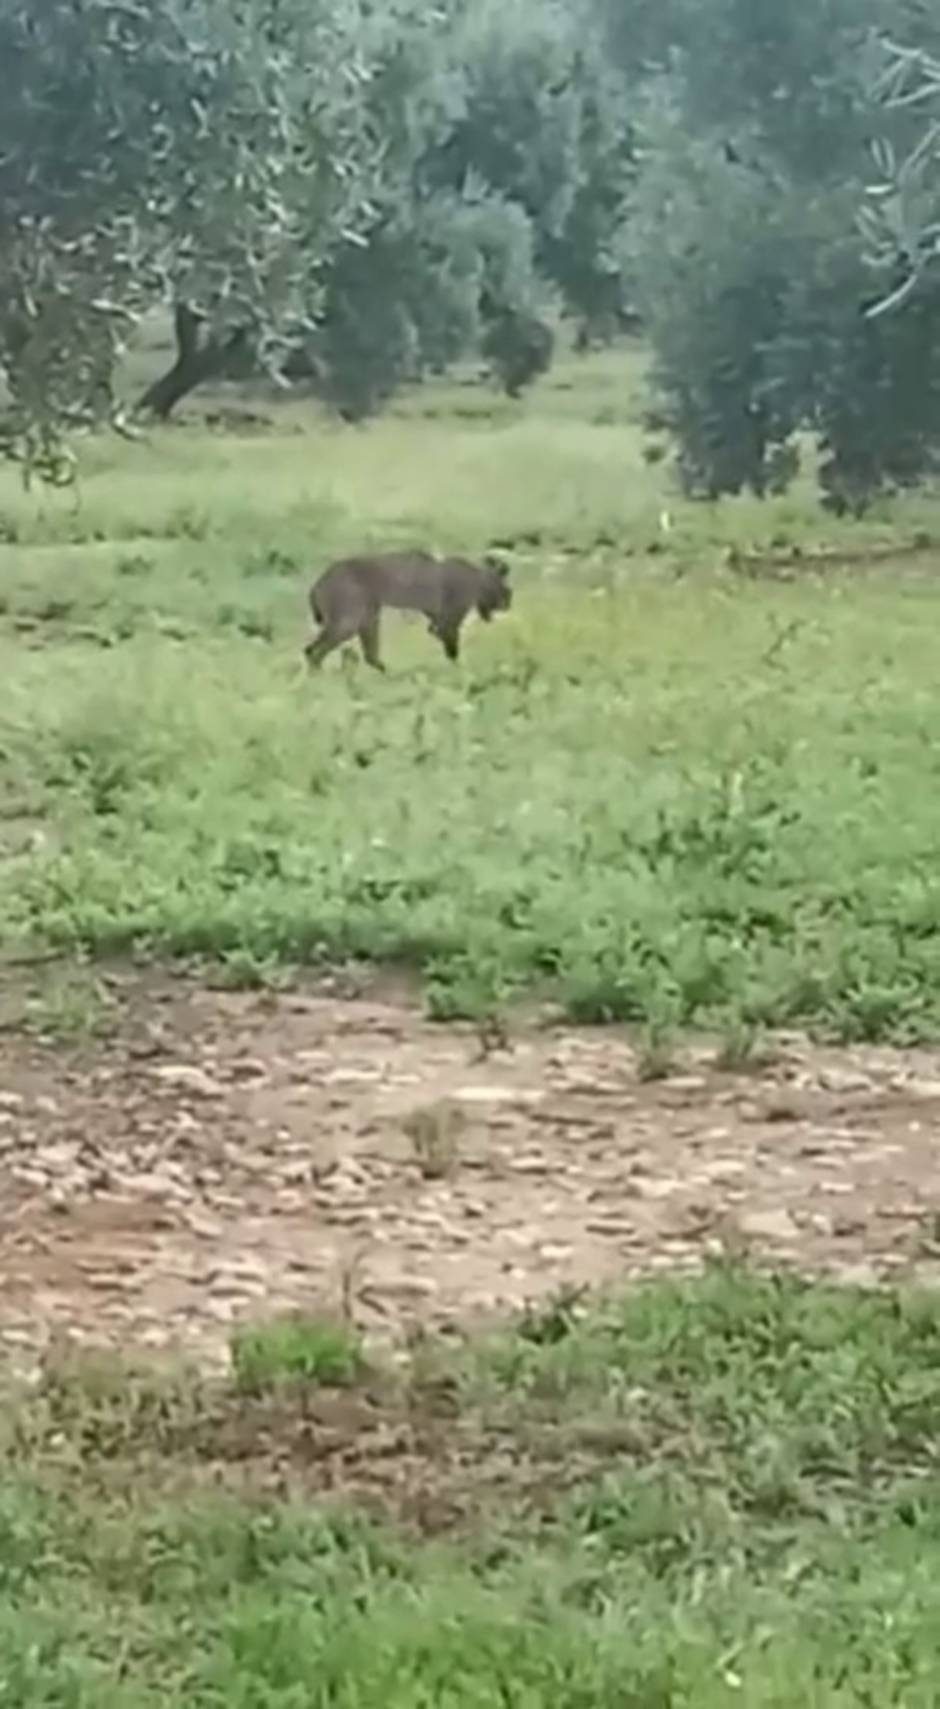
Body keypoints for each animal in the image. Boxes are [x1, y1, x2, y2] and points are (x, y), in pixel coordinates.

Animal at [304, 553, 512, 673]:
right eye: (508, 593)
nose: (508, 604)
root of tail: (317, 585)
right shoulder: (450, 618)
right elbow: (452, 646)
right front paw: (459, 668)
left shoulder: (437, 618)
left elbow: (440, 635)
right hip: (351, 617)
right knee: (316, 650)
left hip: (367, 616)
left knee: (364, 653)